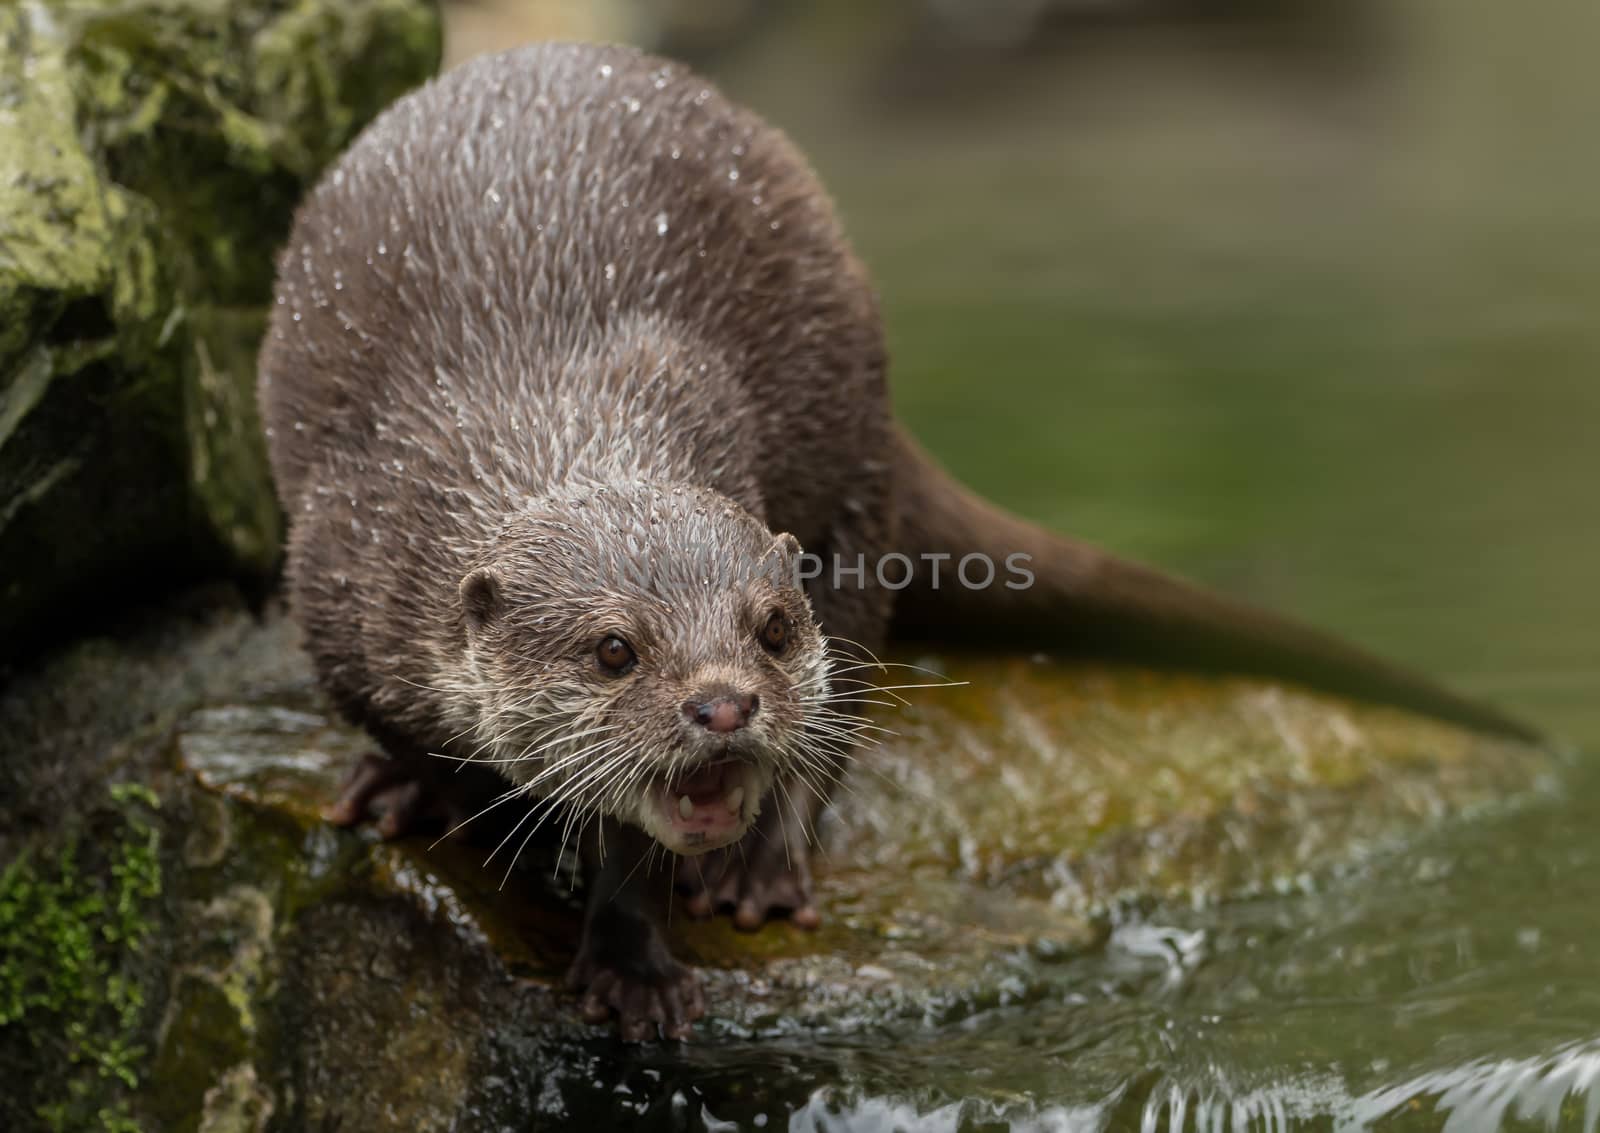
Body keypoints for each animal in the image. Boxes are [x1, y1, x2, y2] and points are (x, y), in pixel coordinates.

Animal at [259, 42, 1536, 1036]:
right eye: (613, 649)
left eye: (770, 630)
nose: (721, 701)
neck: (540, 416)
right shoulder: (334, 575)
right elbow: (422, 735)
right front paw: (464, 808)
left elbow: (642, 847)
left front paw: (629, 958)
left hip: (853, 488)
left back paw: (760, 867)